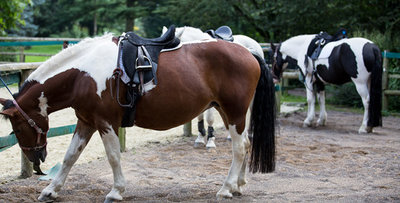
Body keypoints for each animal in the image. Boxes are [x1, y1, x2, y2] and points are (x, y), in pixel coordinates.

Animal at [0, 33, 276, 201]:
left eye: (17, 129)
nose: (36, 159)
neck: (83, 74)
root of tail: (249, 53)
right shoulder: (86, 121)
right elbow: (70, 157)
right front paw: (51, 190)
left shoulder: (105, 122)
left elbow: (113, 157)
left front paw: (116, 191)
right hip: (228, 112)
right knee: (246, 144)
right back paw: (238, 184)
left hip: (234, 112)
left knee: (239, 148)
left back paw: (226, 188)